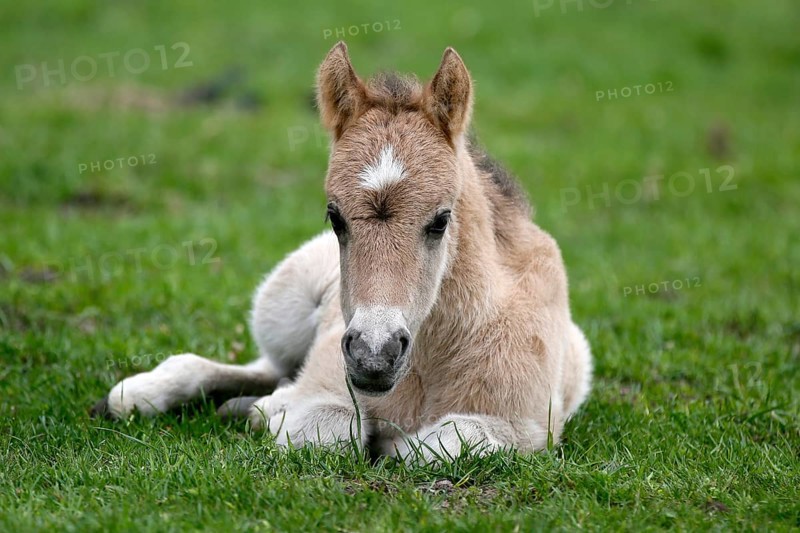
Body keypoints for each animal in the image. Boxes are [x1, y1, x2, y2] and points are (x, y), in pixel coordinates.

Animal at [91, 42, 593, 464]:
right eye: (334, 216)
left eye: (441, 219)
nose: (374, 356)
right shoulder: (328, 389)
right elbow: (326, 431)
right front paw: (273, 413)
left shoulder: (525, 429)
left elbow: (433, 446)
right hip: (285, 306)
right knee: (264, 366)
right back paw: (143, 393)